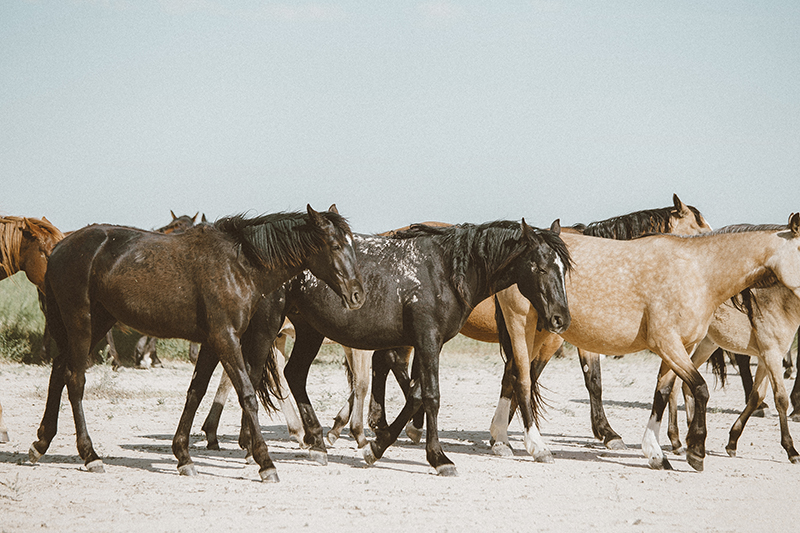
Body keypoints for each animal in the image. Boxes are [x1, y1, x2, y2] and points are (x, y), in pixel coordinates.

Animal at [27, 205, 366, 482]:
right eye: (335, 245)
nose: (358, 295)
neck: (239, 265)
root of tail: (60, 247)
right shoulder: (225, 337)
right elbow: (247, 394)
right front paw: (265, 462)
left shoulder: (211, 342)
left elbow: (196, 391)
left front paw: (183, 456)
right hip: (80, 323)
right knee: (74, 380)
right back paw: (89, 454)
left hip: (96, 322)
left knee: (58, 372)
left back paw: (41, 443)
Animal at [272, 218, 572, 476]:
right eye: (540, 267)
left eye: (563, 269)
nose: (561, 319)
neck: (444, 271)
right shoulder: (427, 338)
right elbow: (431, 396)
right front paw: (439, 458)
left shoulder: (431, 343)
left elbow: (416, 394)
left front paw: (376, 448)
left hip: (309, 331)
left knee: (294, 375)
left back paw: (316, 444)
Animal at [664, 282, 800, 462]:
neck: (780, 304)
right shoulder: (772, 356)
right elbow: (781, 399)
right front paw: (791, 450)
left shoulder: (764, 360)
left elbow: (756, 397)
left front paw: (732, 442)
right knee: (675, 384)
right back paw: (676, 441)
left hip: (706, 345)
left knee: (684, 383)